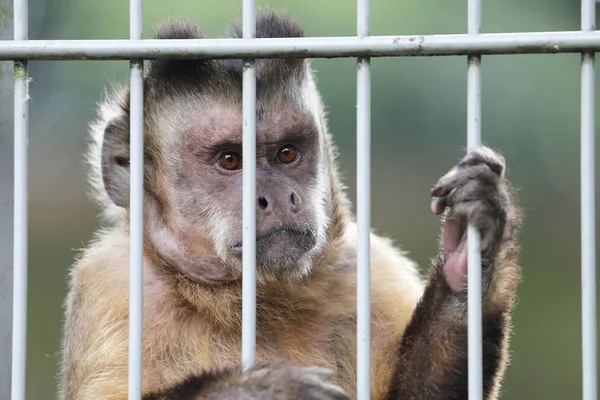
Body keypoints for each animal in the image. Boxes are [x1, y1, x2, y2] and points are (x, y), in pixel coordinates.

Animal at [58, 9, 524, 400]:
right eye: (230, 160)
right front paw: (256, 391)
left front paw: (471, 257)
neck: (246, 299)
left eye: (287, 154)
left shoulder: (368, 268)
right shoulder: (114, 281)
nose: (279, 196)